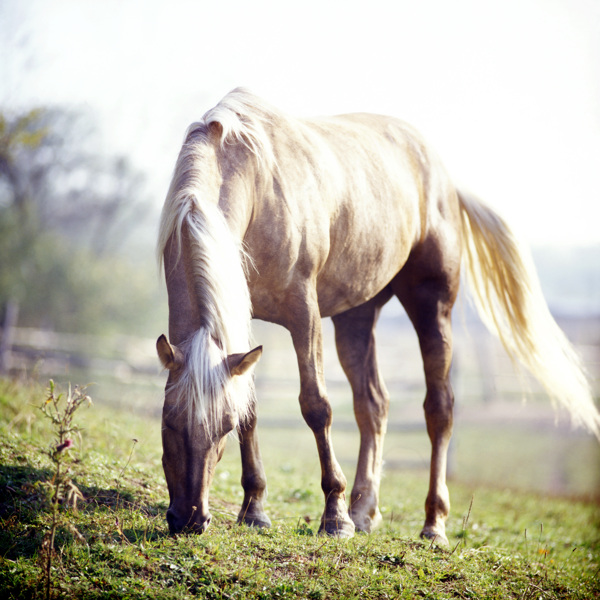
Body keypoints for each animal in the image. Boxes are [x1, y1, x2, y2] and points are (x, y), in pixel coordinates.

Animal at [156, 88, 600, 544]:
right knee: (374, 404)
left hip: (432, 306)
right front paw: (255, 510)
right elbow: (254, 408)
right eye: (167, 421)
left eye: (221, 428)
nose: (189, 519)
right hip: (356, 317)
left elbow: (316, 406)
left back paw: (432, 524)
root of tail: (444, 178)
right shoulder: (242, 327)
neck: (252, 176)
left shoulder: (303, 313)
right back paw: (365, 510)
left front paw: (334, 517)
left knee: (439, 408)